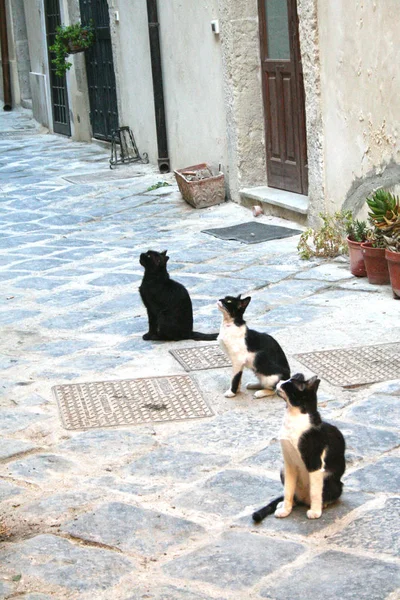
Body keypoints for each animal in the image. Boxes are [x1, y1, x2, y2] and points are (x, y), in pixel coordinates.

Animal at [255, 376, 346, 520]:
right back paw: (284, 504)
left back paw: (322, 504)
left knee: (327, 493)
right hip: (282, 470)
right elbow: (288, 490)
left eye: (288, 384)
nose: (279, 382)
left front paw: (315, 512)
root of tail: (304, 499)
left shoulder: (315, 463)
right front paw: (285, 510)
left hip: (329, 478)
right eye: (288, 380)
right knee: (294, 496)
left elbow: (315, 492)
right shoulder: (289, 463)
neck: (293, 417)